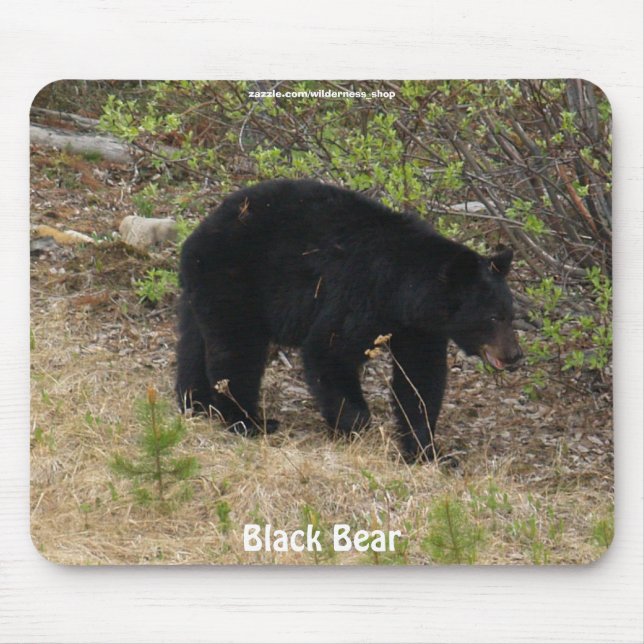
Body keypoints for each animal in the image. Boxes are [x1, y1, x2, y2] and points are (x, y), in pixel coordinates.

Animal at [176, 179, 522, 461]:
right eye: (493, 317)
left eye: (510, 314)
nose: (515, 355)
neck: (406, 289)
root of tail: (195, 236)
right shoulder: (361, 294)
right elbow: (328, 350)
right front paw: (357, 428)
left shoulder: (419, 328)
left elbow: (420, 380)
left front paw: (429, 452)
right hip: (235, 281)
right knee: (236, 349)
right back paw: (248, 421)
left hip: (201, 291)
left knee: (193, 344)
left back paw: (195, 403)